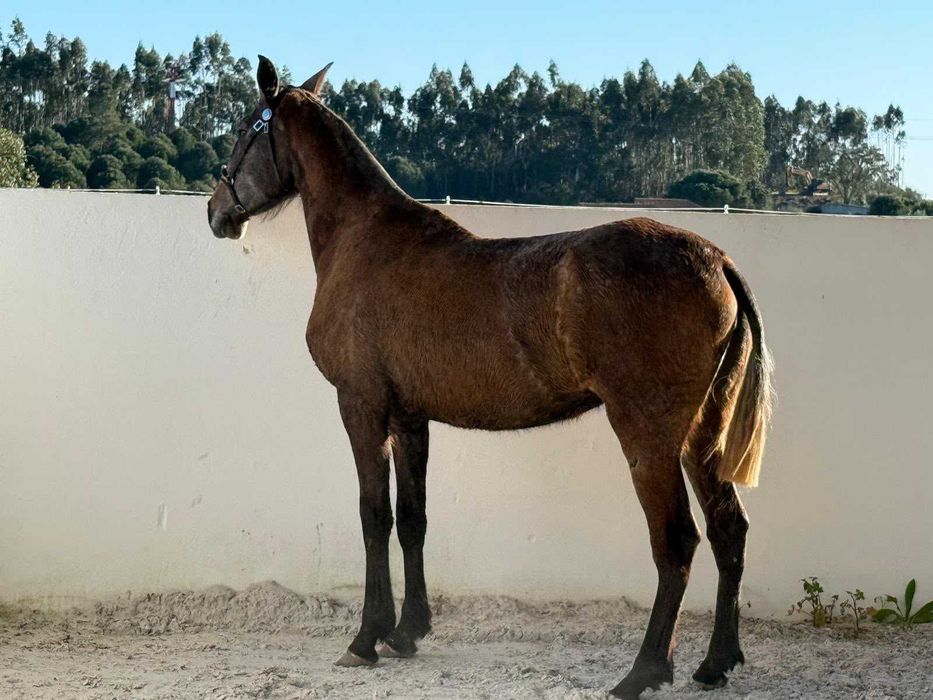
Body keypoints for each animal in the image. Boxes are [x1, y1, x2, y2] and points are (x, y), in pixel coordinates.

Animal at [207, 56, 773, 699]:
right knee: (729, 530)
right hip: (703, 436)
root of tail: (716, 260)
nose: (216, 212)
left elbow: (375, 516)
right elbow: (413, 519)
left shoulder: (362, 405)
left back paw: (644, 671)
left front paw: (366, 638)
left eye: (245, 128)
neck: (364, 241)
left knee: (676, 541)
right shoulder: (410, 418)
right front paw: (407, 632)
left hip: (649, 438)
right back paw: (715, 662)